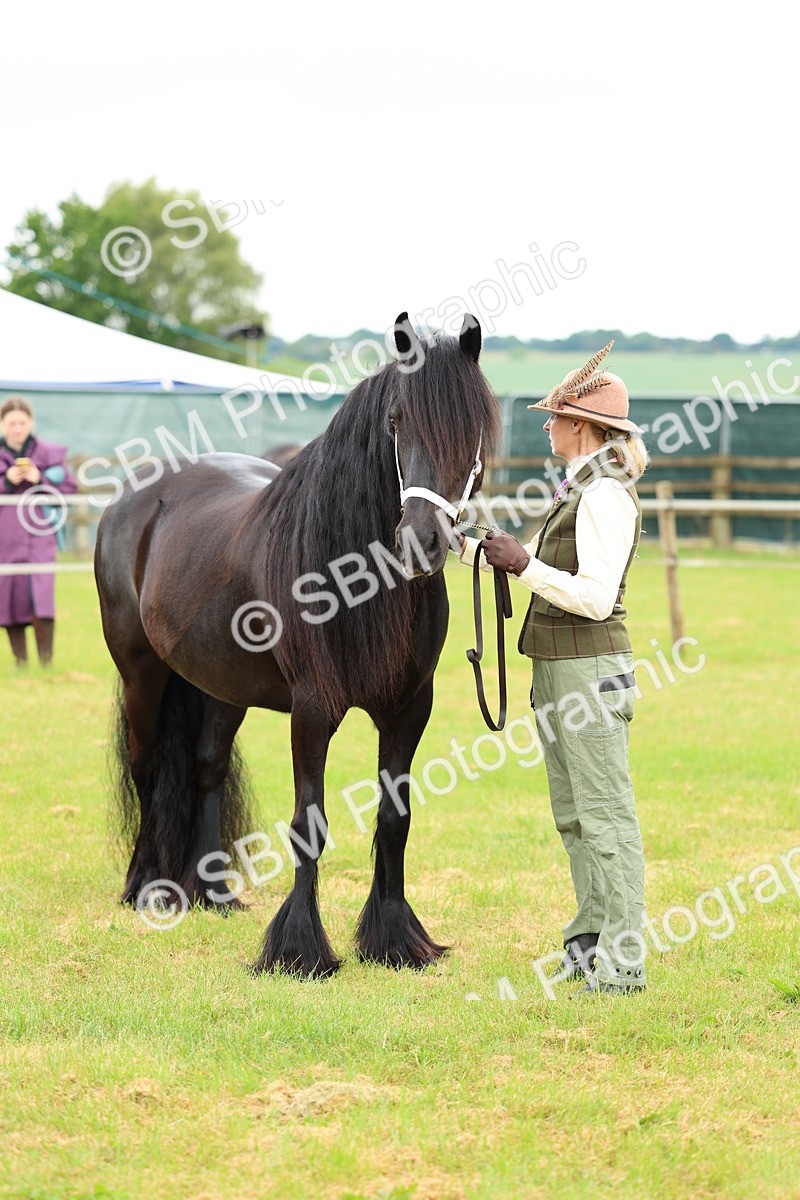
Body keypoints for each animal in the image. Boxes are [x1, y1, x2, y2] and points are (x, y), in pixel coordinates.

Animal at [95, 312, 500, 977]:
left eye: (475, 429)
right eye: (395, 420)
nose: (422, 541)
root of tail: (135, 495)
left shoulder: (409, 708)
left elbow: (394, 818)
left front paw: (395, 941)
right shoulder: (312, 710)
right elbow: (309, 823)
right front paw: (300, 950)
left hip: (222, 687)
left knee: (205, 768)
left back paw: (214, 894)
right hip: (141, 674)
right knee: (147, 768)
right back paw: (148, 888)